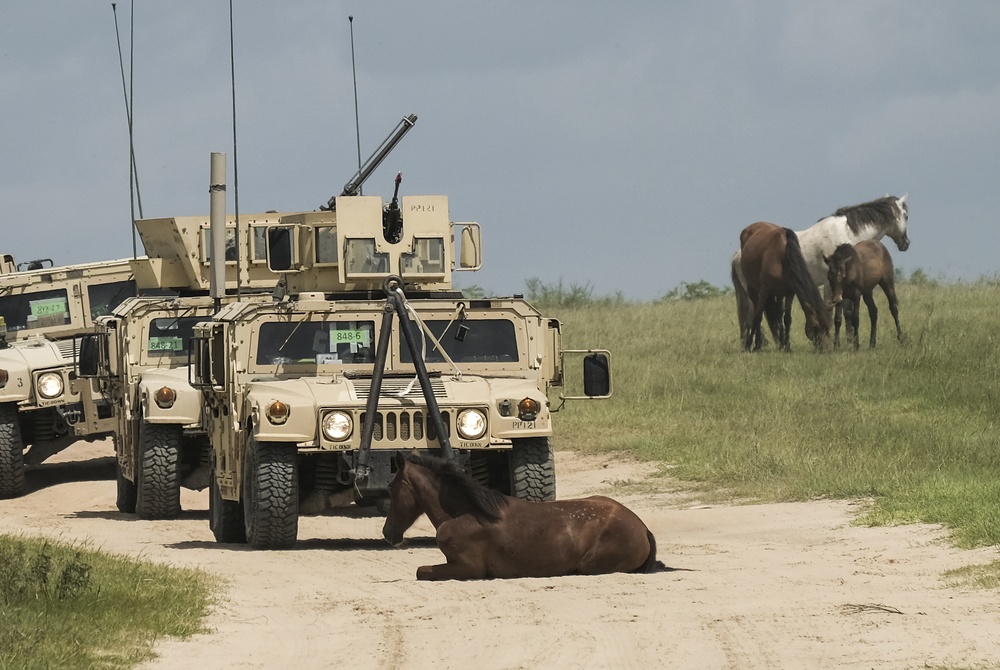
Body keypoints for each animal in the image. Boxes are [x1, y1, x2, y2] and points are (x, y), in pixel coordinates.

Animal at [380, 456, 664, 584]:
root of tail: (642, 527)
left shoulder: (467, 569)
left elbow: (421, 572)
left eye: (391, 488)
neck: (467, 513)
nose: (387, 532)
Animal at [740, 224, 832, 354]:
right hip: (753, 289)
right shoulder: (764, 291)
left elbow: (787, 319)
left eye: (828, 326)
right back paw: (758, 344)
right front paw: (750, 346)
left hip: (779, 293)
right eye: (815, 326)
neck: (783, 257)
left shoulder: (790, 292)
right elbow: (758, 317)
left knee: (779, 314)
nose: (826, 349)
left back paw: (780, 343)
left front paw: (787, 346)